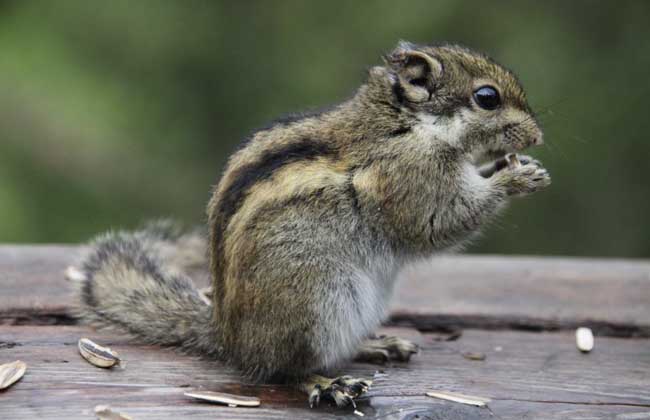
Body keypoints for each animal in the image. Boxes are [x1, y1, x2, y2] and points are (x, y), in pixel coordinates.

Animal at [69, 41, 548, 406]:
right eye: (487, 97)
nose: (537, 137)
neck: (410, 125)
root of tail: (228, 337)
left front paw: (514, 166)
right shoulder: (408, 178)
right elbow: (437, 222)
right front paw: (515, 177)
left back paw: (376, 344)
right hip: (314, 306)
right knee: (282, 371)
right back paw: (328, 384)